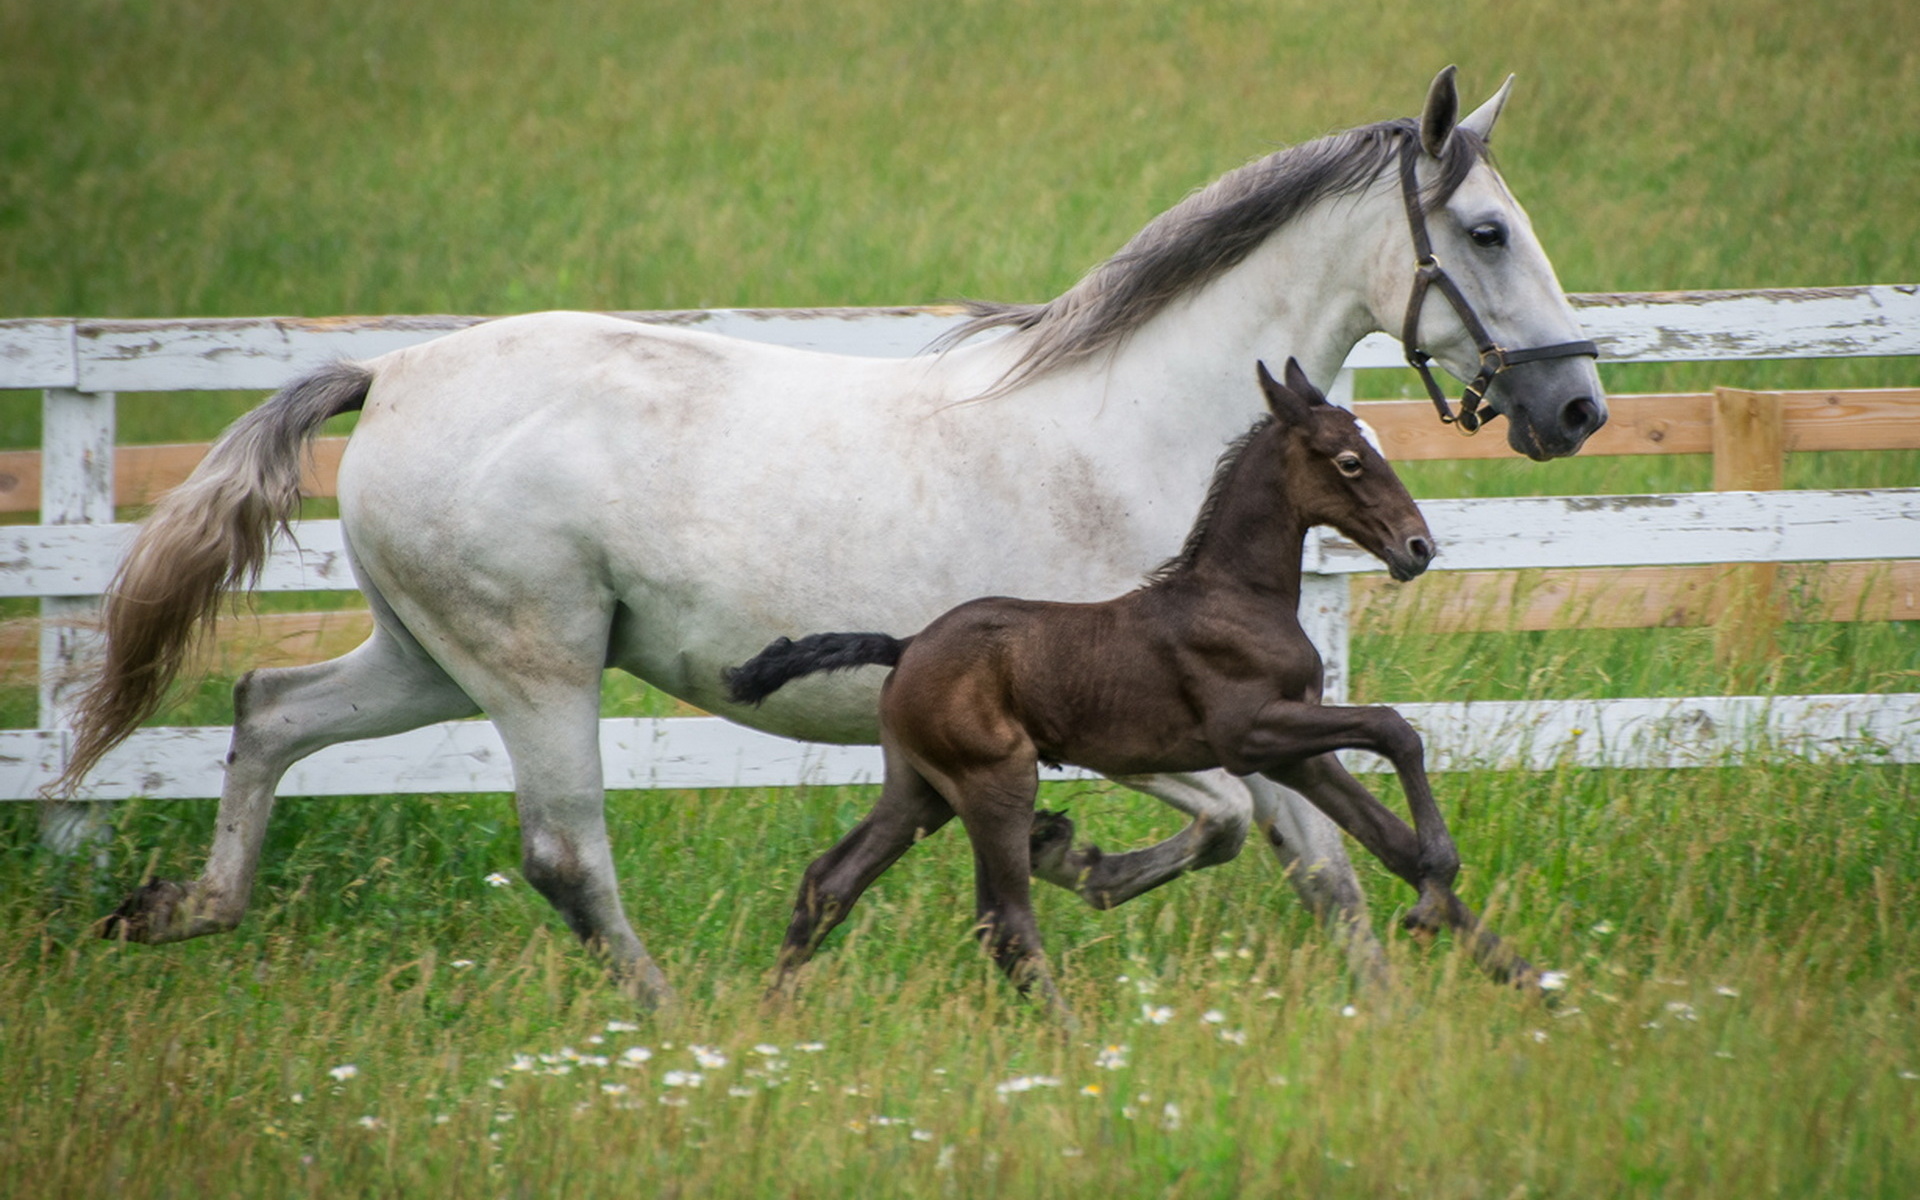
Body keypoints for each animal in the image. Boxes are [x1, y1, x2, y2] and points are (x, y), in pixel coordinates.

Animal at [725, 357, 1536, 1013]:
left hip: (921, 790)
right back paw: (1072, 1037)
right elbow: (1395, 727)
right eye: (1348, 461)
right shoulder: (1251, 735)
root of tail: (907, 646)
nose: (1418, 546)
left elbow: (1389, 842)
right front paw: (1437, 894)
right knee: (1005, 923)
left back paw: (771, 1015)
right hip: (996, 782)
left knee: (831, 881)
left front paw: (1526, 976)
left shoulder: (1295, 753)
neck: (1237, 596)